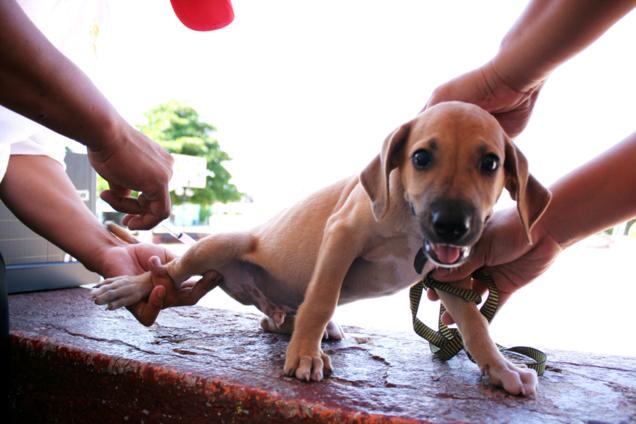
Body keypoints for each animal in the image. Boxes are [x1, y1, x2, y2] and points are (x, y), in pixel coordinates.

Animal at [92, 101, 548, 396]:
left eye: (490, 163)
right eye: (420, 158)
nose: (451, 226)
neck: (408, 225)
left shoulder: (443, 274)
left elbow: (475, 324)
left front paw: (501, 368)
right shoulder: (341, 235)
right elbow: (323, 296)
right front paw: (305, 357)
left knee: (271, 321)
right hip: (219, 244)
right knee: (169, 273)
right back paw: (131, 287)